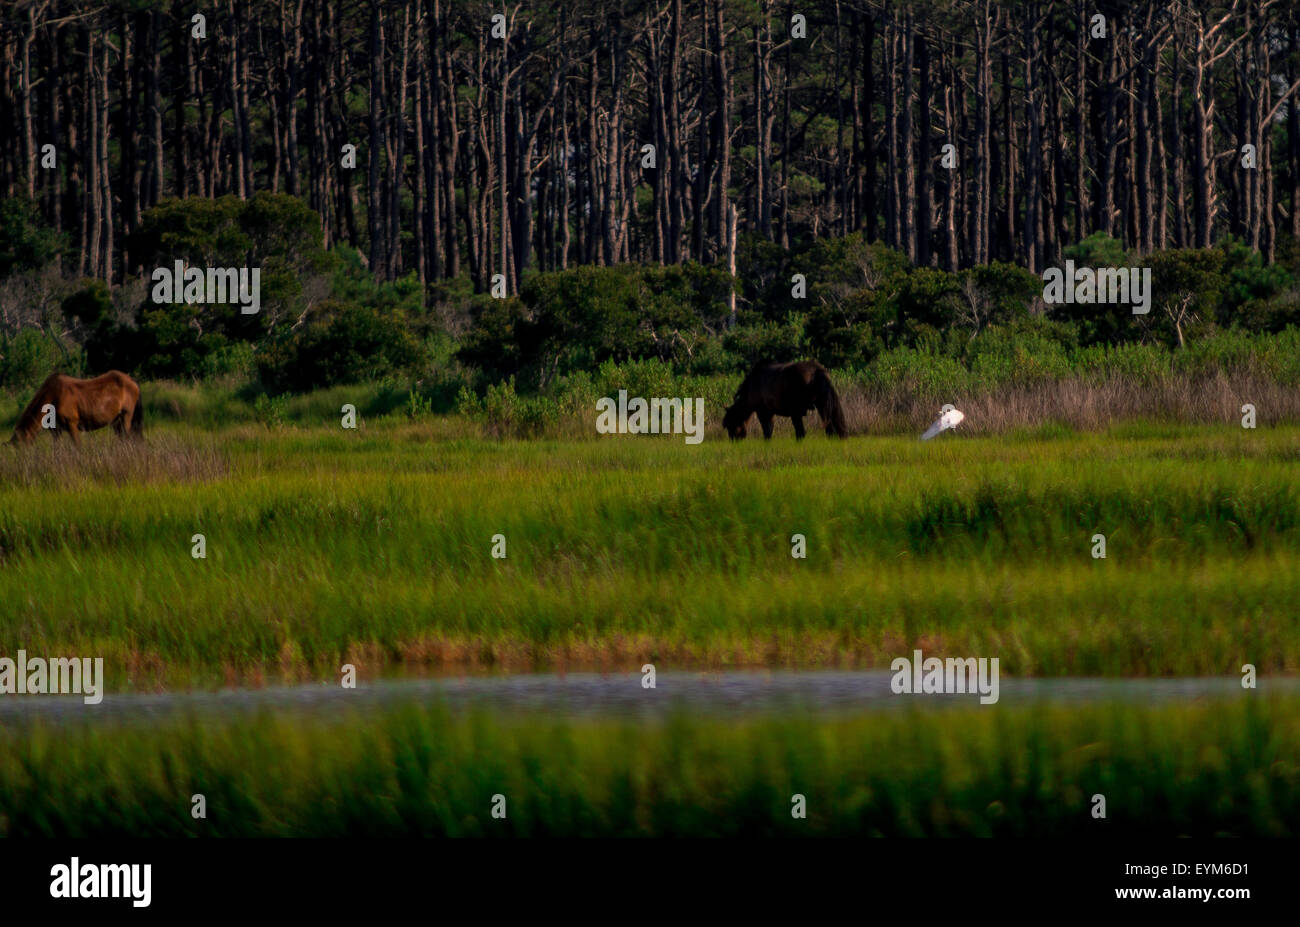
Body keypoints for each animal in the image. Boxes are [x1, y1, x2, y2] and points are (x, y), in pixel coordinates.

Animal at [8, 369, 143, 444]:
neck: (53, 396)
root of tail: (132, 381)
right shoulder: (56, 431)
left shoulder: (72, 424)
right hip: (116, 421)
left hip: (126, 416)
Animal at [717, 358, 847, 436]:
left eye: (730, 425)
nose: (734, 441)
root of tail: (816, 370)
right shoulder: (771, 413)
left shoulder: (763, 412)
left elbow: (767, 432)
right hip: (822, 405)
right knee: (829, 427)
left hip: (796, 412)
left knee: (801, 432)